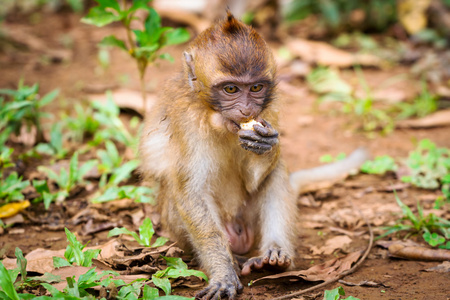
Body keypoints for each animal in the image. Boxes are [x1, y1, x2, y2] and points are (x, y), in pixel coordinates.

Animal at [140, 12, 370, 300]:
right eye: (231, 90)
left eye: (256, 88)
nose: (247, 110)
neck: (216, 120)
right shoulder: (186, 120)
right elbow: (190, 192)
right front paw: (223, 272)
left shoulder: (268, 112)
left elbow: (255, 178)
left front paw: (265, 144)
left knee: (276, 173)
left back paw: (274, 257)